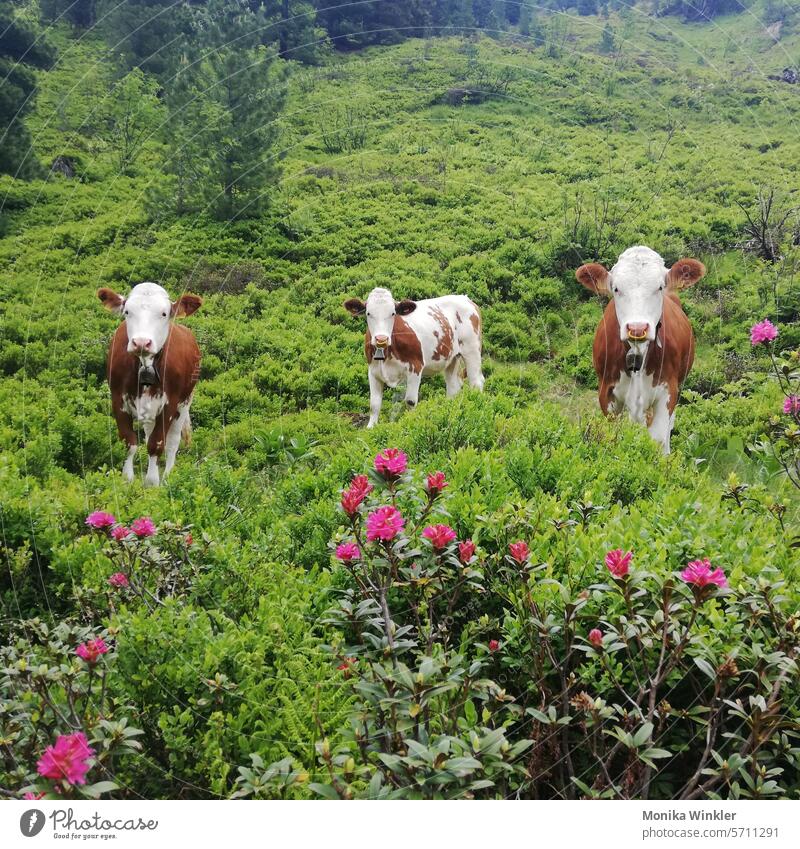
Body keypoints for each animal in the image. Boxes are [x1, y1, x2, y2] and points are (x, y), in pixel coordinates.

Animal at [97, 284, 203, 486]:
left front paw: (152, 482)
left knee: (173, 442)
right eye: (127, 311)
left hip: (185, 401)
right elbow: (129, 441)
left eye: (163, 313)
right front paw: (127, 479)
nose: (141, 342)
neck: (145, 365)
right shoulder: (118, 400)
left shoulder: (170, 403)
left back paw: (168, 476)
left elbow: (157, 444)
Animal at [342, 286, 482, 430]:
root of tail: (465, 298)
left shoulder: (416, 366)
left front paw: (411, 422)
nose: (381, 339)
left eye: (393, 313)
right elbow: (374, 404)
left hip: (472, 350)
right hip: (452, 359)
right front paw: (371, 428)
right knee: (453, 387)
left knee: (476, 382)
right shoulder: (373, 370)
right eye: (368, 313)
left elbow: (410, 401)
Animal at [576, 245, 708, 454]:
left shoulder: (668, 390)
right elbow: (614, 436)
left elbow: (659, 438)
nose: (637, 328)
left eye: (659, 287)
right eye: (616, 288)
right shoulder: (606, 392)